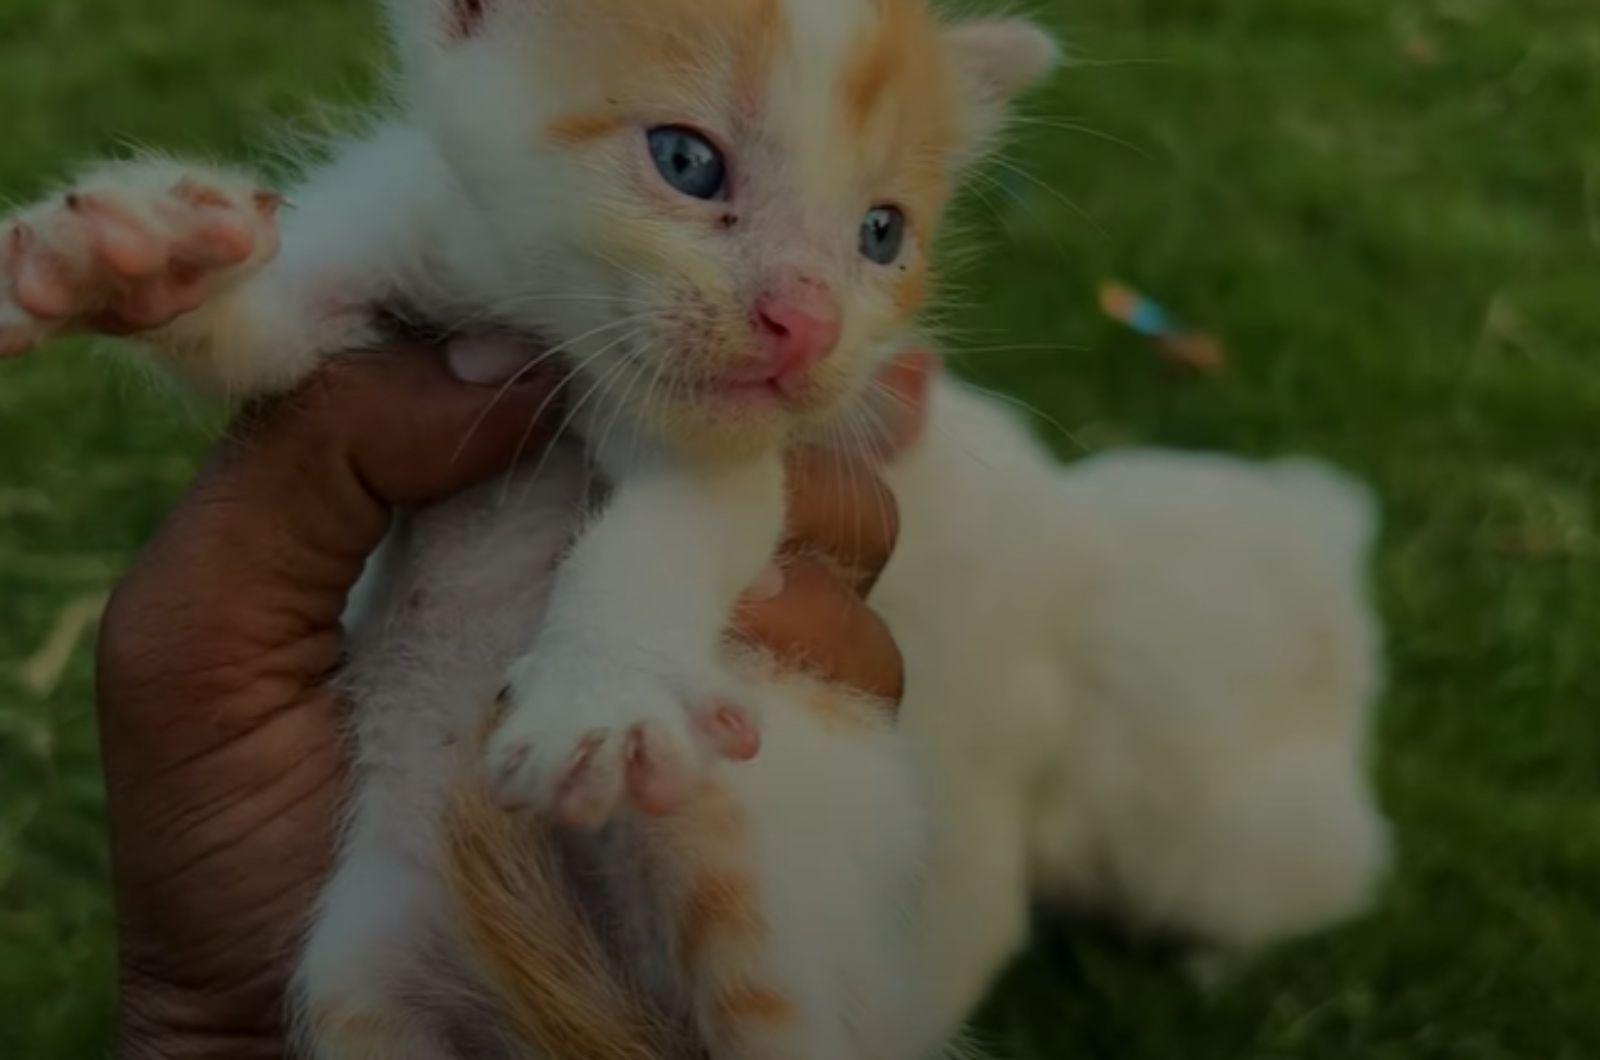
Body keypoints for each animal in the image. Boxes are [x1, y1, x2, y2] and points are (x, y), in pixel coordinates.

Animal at [0, 0, 1388, 1056]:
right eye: (685, 162)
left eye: (882, 233)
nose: (808, 324)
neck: (541, 316)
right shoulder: (402, 240)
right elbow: (263, 337)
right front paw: (141, 258)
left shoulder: (733, 456)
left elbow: (667, 533)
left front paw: (600, 695)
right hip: (365, 980)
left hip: (742, 871)